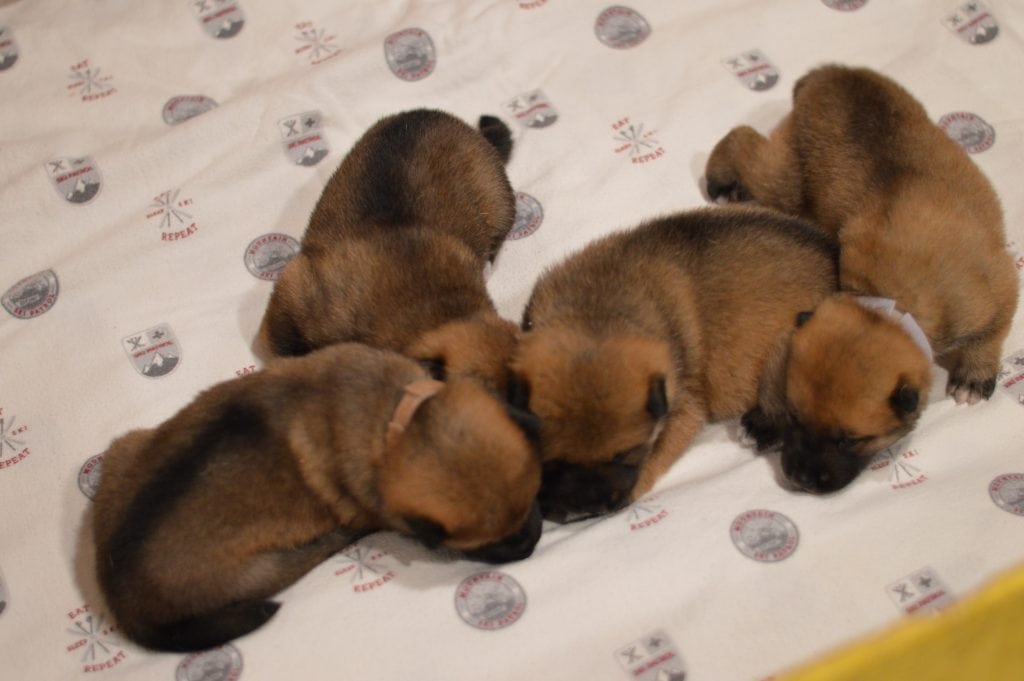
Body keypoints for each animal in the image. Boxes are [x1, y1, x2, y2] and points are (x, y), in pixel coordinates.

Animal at [91, 343, 542, 652]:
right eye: (486, 545)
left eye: (534, 500)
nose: (530, 544)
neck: (395, 421)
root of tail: (120, 597)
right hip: (258, 574)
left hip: (123, 447)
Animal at [510, 206, 839, 520]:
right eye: (552, 460)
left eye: (624, 455)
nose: (585, 511)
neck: (596, 311)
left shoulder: (684, 410)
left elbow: (655, 458)